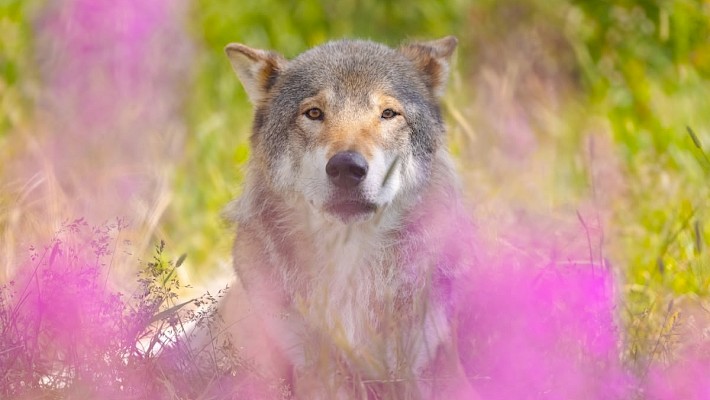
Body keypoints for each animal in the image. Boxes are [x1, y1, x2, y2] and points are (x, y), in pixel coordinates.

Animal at [218, 36, 477, 399]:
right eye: (314, 113)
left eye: (388, 113)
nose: (346, 167)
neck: (352, 271)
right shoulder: (319, 374)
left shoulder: (424, 366)